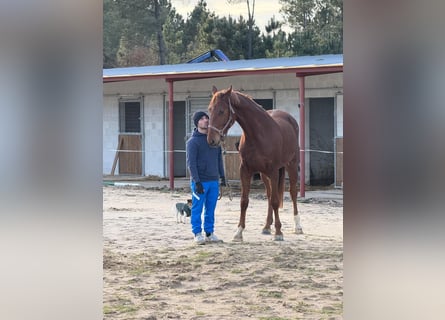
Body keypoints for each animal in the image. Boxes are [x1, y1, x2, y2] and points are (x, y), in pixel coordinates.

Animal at [207, 86, 304, 241]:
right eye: (210, 109)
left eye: (221, 111)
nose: (211, 140)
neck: (258, 134)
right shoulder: (245, 170)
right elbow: (244, 201)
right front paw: (239, 232)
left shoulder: (273, 171)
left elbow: (276, 201)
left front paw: (278, 232)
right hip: (264, 175)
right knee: (269, 195)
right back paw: (267, 226)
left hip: (291, 165)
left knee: (292, 193)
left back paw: (298, 226)